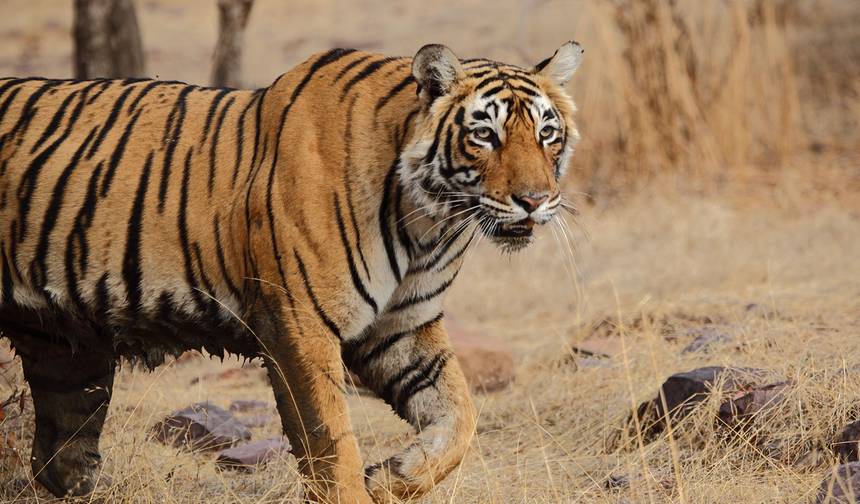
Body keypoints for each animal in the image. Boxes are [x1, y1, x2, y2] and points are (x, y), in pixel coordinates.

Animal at [0, 41, 583, 502]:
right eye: (484, 135)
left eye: (547, 134)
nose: (535, 201)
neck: (427, 222)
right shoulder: (299, 323)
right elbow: (331, 441)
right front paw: (361, 484)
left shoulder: (402, 326)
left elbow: (460, 417)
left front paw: (393, 476)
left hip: (67, 355)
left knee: (60, 458)